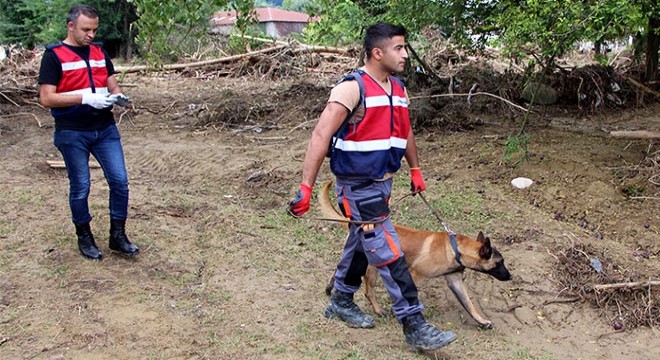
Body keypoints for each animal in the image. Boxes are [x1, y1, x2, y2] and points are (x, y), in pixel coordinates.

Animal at [320, 179, 516, 328]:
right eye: (499, 263)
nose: (510, 277)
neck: (454, 249)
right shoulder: (414, 274)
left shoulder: (455, 282)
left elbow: (469, 304)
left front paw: (481, 320)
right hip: (373, 268)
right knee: (368, 291)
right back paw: (378, 310)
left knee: (341, 270)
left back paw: (331, 289)